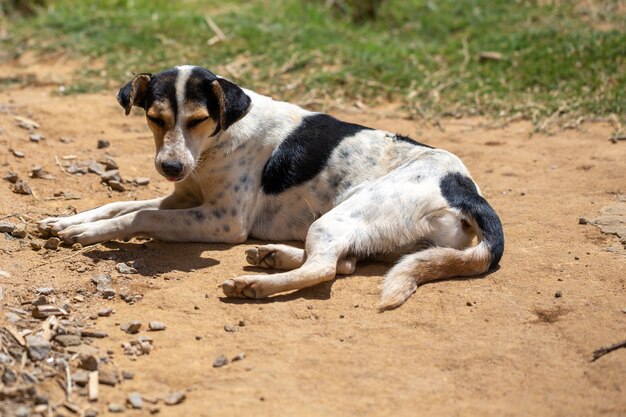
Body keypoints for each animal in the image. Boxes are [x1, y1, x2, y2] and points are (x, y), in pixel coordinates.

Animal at [39, 65, 502, 308]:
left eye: (197, 119)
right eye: (155, 118)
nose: (170, 166)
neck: (221, 137)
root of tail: (467, 190)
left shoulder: (224, 222)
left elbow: (140, 215)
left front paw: (90, 233)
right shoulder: (183, 196)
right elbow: (122, 205)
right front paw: (69, 222)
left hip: (346, 212)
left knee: (326, 267)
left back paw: (256, 287)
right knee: (346, 263)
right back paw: (272, 256)